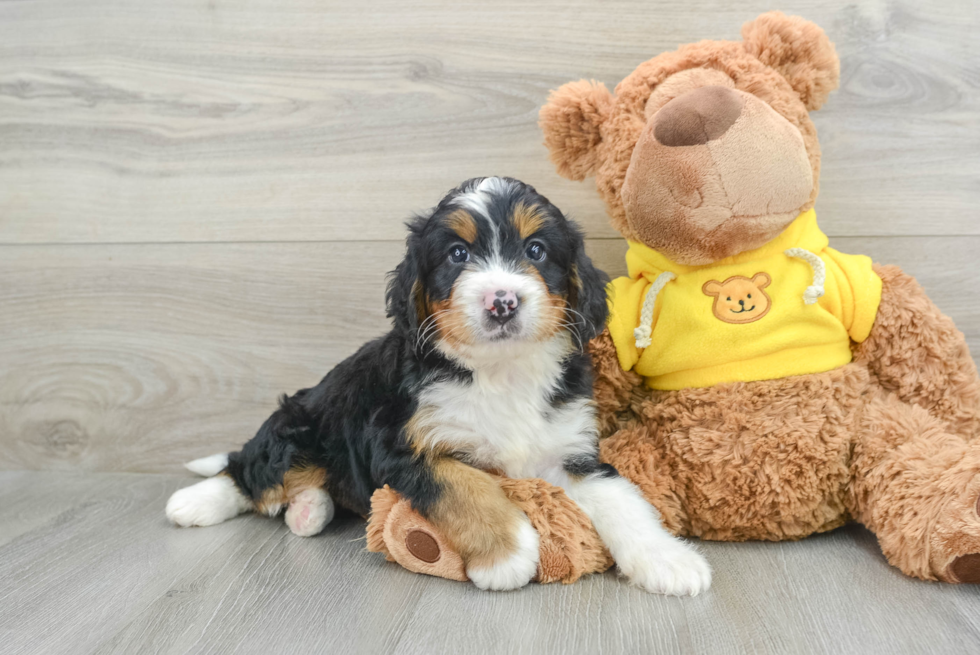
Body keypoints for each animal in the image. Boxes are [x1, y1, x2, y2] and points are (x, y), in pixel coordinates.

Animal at [168, 177, 712, 596]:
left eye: (536, 250)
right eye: (457, 253)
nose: (502, 301)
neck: (500, 371)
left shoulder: (571, 448)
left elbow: (624, 499)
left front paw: (669, 561)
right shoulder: (402, 444)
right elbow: (466, 484)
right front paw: (508, 555)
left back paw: (308, 510)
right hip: (298, 426)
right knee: (249, 472)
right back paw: (196, 503)